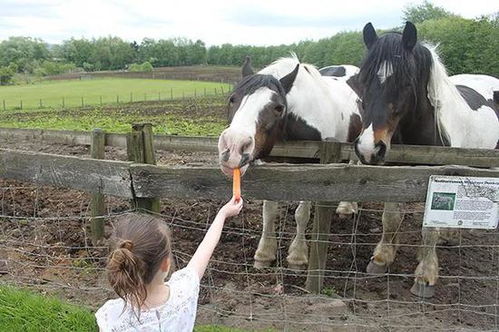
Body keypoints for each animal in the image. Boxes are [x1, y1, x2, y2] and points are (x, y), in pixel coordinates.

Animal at [219, 55, 364, 270]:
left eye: (278, 107)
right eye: (232, 99)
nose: (233, 147)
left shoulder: (314, 169)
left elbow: (301, 214)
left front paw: (297, 255)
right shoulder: (270, 166)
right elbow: (269, 211)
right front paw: (264, 253)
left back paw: (347, 207)